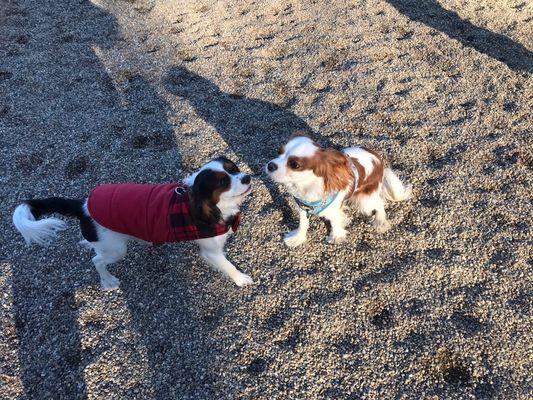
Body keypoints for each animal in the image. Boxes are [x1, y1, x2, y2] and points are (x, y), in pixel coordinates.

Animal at [11, 157, 254, 290]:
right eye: (222, 182)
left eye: (234, 168)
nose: (247, 177)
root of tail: (84, 206)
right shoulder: (210, 251)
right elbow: (228, 266)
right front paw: (241, 279)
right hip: (116, 249)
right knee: (97, 260)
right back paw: (108, 281)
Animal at [266, 134, 412, 245]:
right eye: (278, 152)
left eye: (294, 164)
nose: (270, 165)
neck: (307, 186)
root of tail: (378, 159)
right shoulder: (303, 207)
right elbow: (303, 224)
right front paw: (298, 238)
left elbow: (335, 222)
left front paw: (336, 236)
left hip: (366, 200)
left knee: (379, 204)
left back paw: (380, 221)